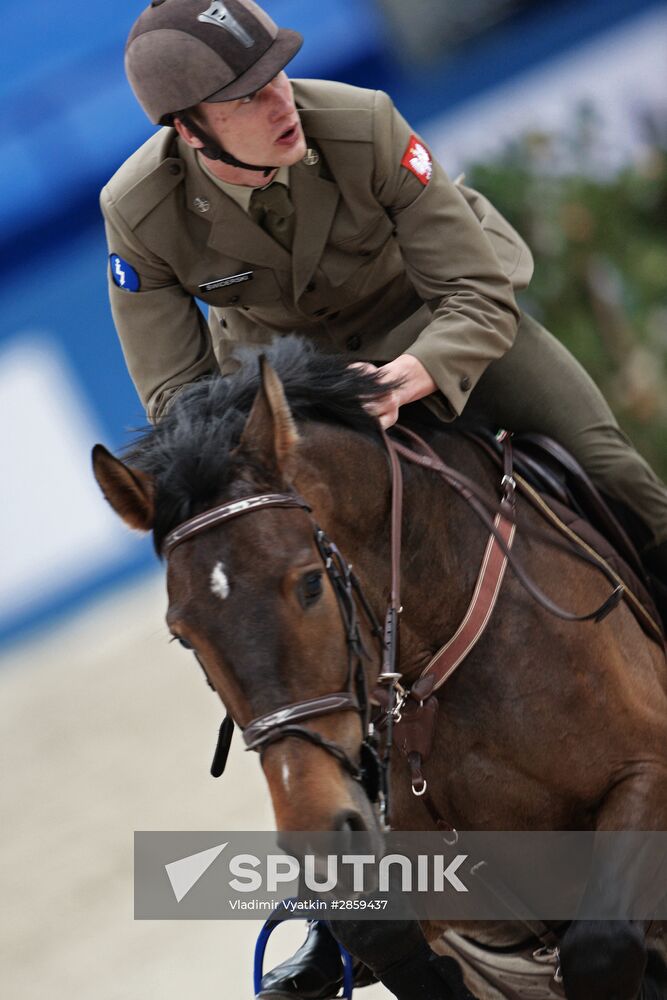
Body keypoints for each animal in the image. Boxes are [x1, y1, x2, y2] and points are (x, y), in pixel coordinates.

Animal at [92, 340, 667, 996]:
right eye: (183, 637)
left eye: (310, 584)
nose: (317, 838)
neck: (424, 675)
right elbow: (386, 936)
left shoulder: (646, 773)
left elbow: (601, 946)